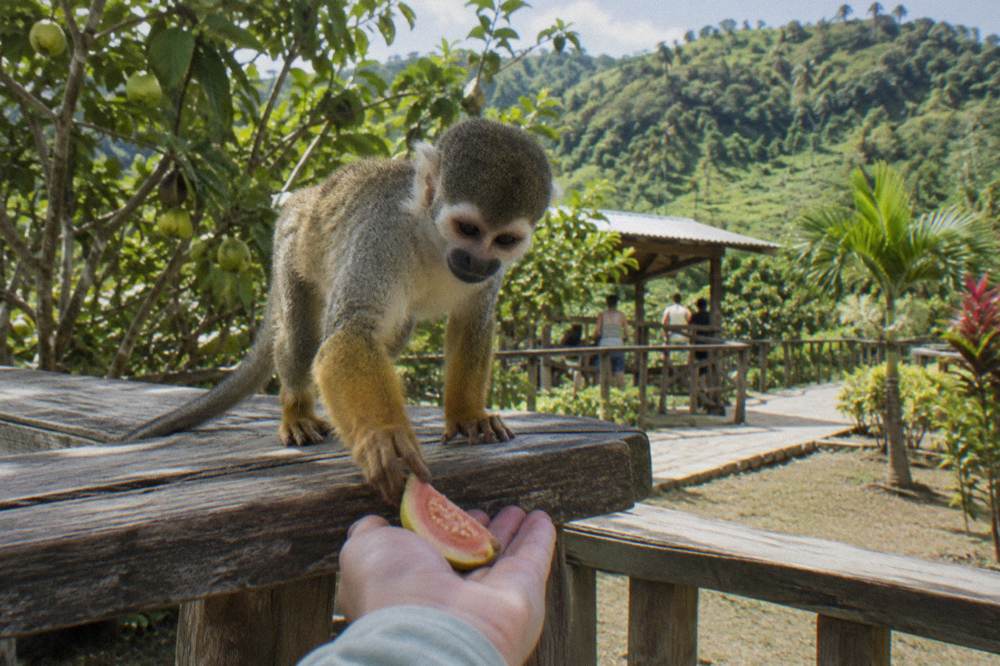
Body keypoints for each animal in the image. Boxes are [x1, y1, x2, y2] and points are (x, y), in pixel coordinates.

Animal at [121, 118, 553, 503]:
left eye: (505, 240)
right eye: (467, 229)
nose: (477, 262)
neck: (434, 241)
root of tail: (303, 197)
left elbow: (471, 322)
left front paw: (467, 414)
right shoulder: (382, 235)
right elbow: (350, 334)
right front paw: (383, 436)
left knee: (394, 332)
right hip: (292, 250)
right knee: (301, 337)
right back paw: (297, 409)